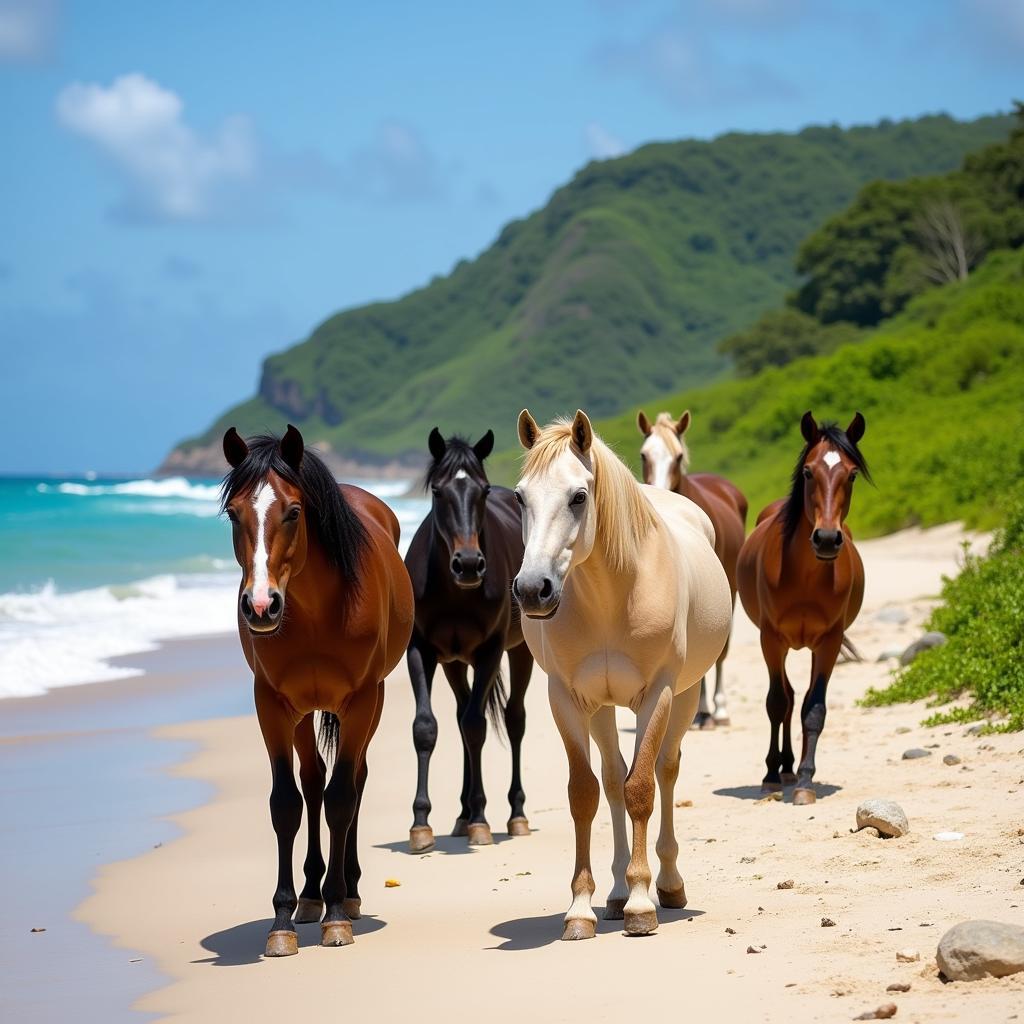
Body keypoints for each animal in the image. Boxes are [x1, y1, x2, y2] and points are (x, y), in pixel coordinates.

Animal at [222, 423, 413, 958]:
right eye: (234, 513)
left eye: (292, 511)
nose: (260, 606)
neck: (312, 614)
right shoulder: (271, 704)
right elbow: (287, 802)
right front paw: (283, 919)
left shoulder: (361, 700)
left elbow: (342, 798)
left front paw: (336, 917)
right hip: (305, 712)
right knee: (312, 783)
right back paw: (310, 894)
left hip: (373, 702)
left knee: (354, 781)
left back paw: (347, 892)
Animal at [403, 428, 536, 851]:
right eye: (438, 492)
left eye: (482, 491)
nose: (468, 564)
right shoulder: (421, 651)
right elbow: (426, 728)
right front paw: (421, 823)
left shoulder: (490, 651)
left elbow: (478, 727)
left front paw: (481, 819)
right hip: (455, 663)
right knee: (461, 717)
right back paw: (461, 815)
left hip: (520, 651)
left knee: (513, 719)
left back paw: (514, 814)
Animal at [512, 407, 729, 937]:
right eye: (520, 497)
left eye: (578, 496)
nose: (532, 590)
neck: (612, 594)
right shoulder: (566, 700)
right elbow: (586, 793)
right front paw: (581, 907)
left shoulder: (657, 695)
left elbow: (642, 788)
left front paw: (641, 902)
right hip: (602, 708)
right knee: (610, 781)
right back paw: (611, 894)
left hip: (686, 695)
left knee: (666, 770)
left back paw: (667, 884)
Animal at [737, 411, 872, 802]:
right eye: (810, 472)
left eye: (851, 474)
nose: (826, 539)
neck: (805, 578)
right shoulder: (771, 639)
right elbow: (776, 703)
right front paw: (770, 774)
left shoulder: (828, 642)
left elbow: (814, 709)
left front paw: (806, 781)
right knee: (786, 699)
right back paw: (780, 769)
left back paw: (792, 770)